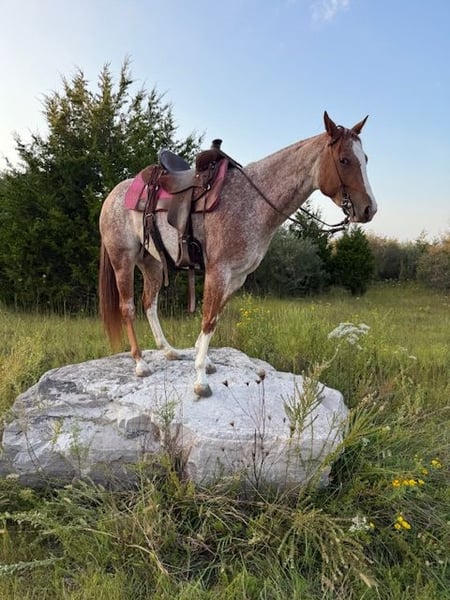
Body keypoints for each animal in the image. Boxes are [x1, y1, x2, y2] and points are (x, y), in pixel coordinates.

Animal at [99, 112, 377, 397]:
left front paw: (205, 360)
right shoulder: (218, 271)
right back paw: (140, 363)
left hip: (152, 263)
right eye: (344, 160)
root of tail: (112, 195)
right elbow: (209, 320)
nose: (369, 209)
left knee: (149, 303)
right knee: (128, 307)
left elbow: (216, 317)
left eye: (365, 159)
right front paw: (201, 380)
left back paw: (169, 350)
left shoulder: (237, 276)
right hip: (123, 260)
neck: (252, 202)